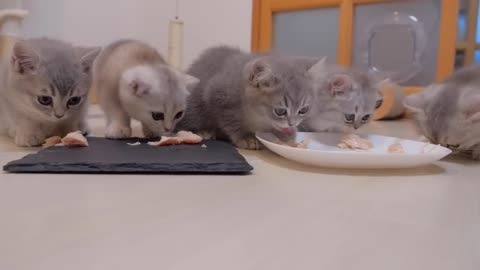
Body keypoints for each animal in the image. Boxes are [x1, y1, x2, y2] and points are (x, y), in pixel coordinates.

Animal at [177, 45, 322, 149]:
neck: (257, 116)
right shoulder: (219, 93)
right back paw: (203, 131)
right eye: (280, 111)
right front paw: (245, 137)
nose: (292, 123)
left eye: (303, 110)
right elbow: (231, 119)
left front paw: (287, 134)